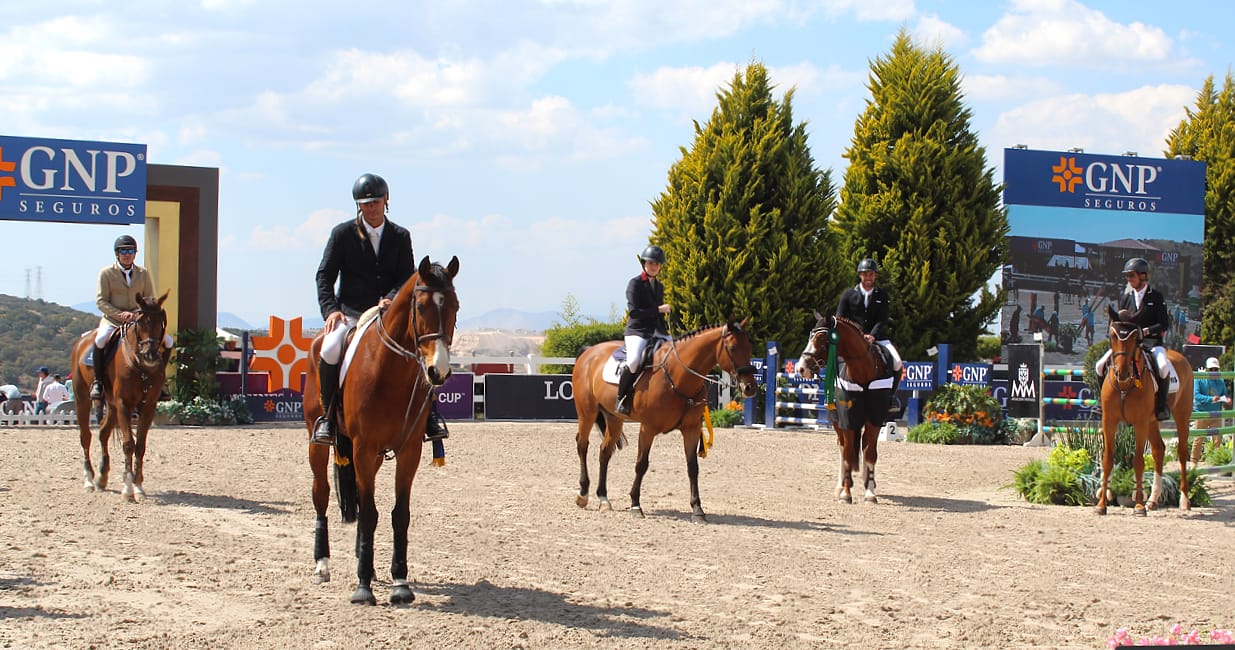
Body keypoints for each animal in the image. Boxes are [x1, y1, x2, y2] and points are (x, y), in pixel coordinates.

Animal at [70, 294, 171, 504]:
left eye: (161, 321)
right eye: (139, 322)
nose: (150, 355)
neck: (141, 366)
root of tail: (82, 341)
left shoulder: (148, 406)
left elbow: (140, 446)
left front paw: (138, 486)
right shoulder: (124, 404)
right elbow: (128, 444)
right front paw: (128, 488)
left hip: (112, 405)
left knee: (103, 432)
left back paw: (102, 477)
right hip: (83, 399)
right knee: (86, 436)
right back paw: (89, 480)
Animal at [303, 254, 459, 605]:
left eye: (455, 306)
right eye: (421, 307)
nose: (439, 371)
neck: (391, 371)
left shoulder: (408, 451)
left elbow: (398, 514)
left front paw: (399, 582)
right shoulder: (362, 448)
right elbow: (370, 514)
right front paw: (362, 588)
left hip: (373, 457)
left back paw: (367, 563)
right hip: (318, 444)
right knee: (322, 494)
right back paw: (322, 565)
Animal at [570, 318, 760, 521]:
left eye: (750, 346)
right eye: (733, 347)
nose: (750, 387)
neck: (679, 377)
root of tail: (589, 351)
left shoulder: (691, 429)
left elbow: (693, 467)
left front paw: (697, 509)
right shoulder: (648, 428)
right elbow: (641, 464)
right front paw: (635, 505)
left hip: (614, 418)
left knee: (605, 451)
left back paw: (603, 499)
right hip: (587, 412)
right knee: (582, 445)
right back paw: (583, 494)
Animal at [795, 313, 894, 506]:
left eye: (824, 340)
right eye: (810, 337)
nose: (801, 369)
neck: (863, 374)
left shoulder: (875, 419)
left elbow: (870, 454)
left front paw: (870, 492)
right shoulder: (847, 420)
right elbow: (848, 454)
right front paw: (846, 493)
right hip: (836, 421)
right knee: (842, 447)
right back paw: (840, 485)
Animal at [1096, 308, 1190, 516]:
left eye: (1135, 338)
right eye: (1112, 336)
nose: (1122, 373)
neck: (1124, 386)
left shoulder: (1140, 424)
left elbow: (1138, 461)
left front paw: (1138, 505)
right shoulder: (1109, 422)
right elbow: (1107, 459)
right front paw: (1101, 504)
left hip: (1181, 415)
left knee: (1181, 452)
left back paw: (1184, 500)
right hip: (1153, 422)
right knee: (1159, 450)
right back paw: (1153, 501)